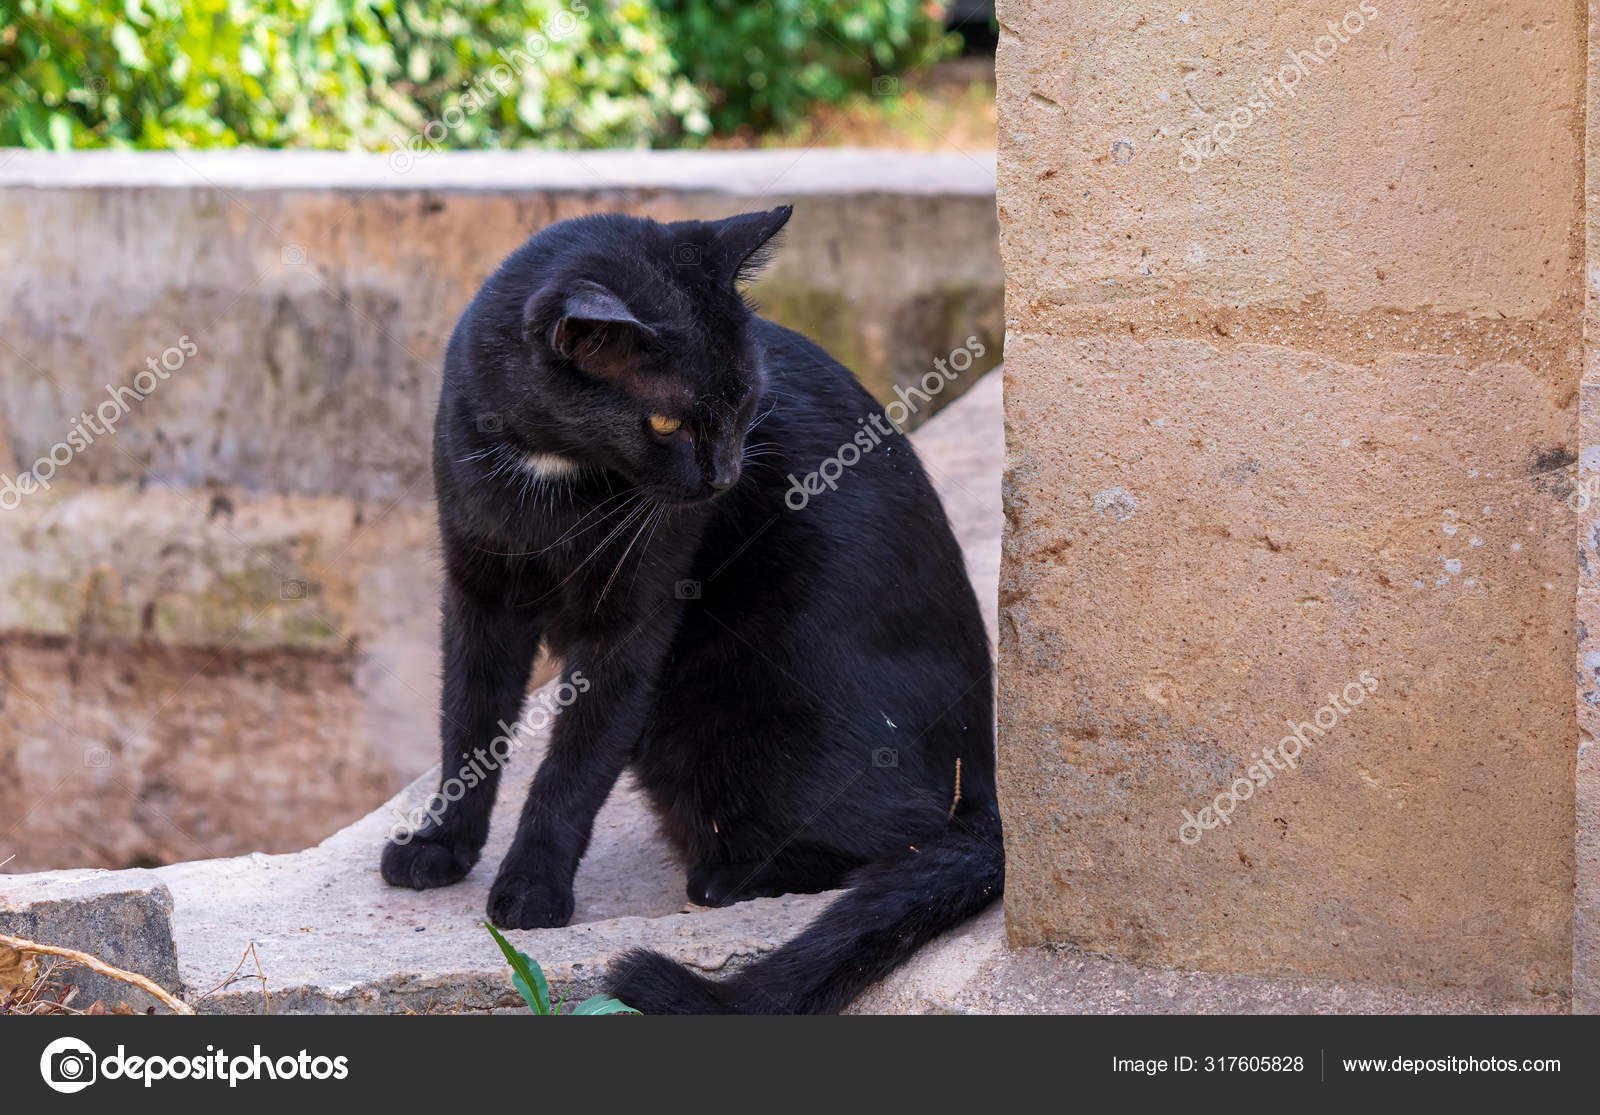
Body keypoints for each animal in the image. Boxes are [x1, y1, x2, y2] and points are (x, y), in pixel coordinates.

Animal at [377, 204, 998, 1011]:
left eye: (747, 402)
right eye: (666, 423)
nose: (725, 475)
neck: (550, 468)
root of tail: (985, 777)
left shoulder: (634, 617)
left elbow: (575, 764)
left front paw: (532, 887)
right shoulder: (478, 593)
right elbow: (468, 725)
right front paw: (440, 845)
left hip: (730, 724)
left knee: (898, 837)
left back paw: (729, 877)